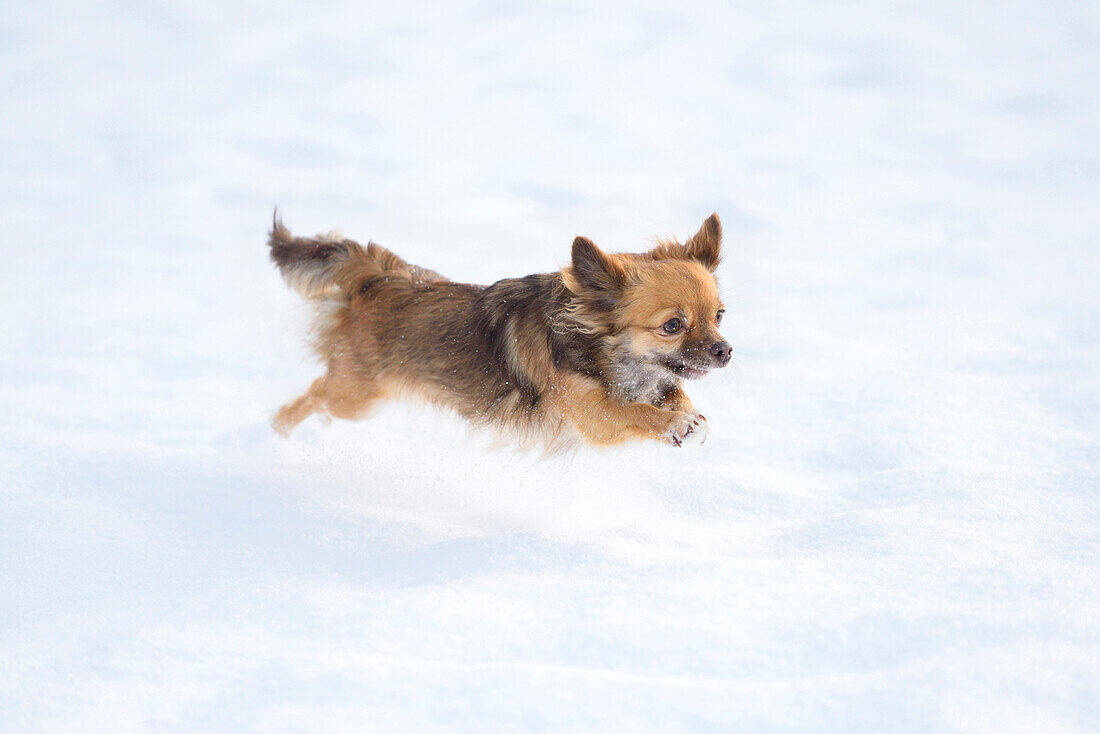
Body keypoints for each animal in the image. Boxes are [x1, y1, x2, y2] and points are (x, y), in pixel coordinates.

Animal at [266, 212, 730, 451]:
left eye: (720, 316)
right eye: (672, 326)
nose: (725, 351)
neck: (602, 351)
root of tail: (381, 277)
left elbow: (675, 392)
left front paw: (688, 416)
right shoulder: (594, 417)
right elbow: (635, 413)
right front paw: (675, 424)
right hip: (357, 396)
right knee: (316, 392)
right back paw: (278, 430)